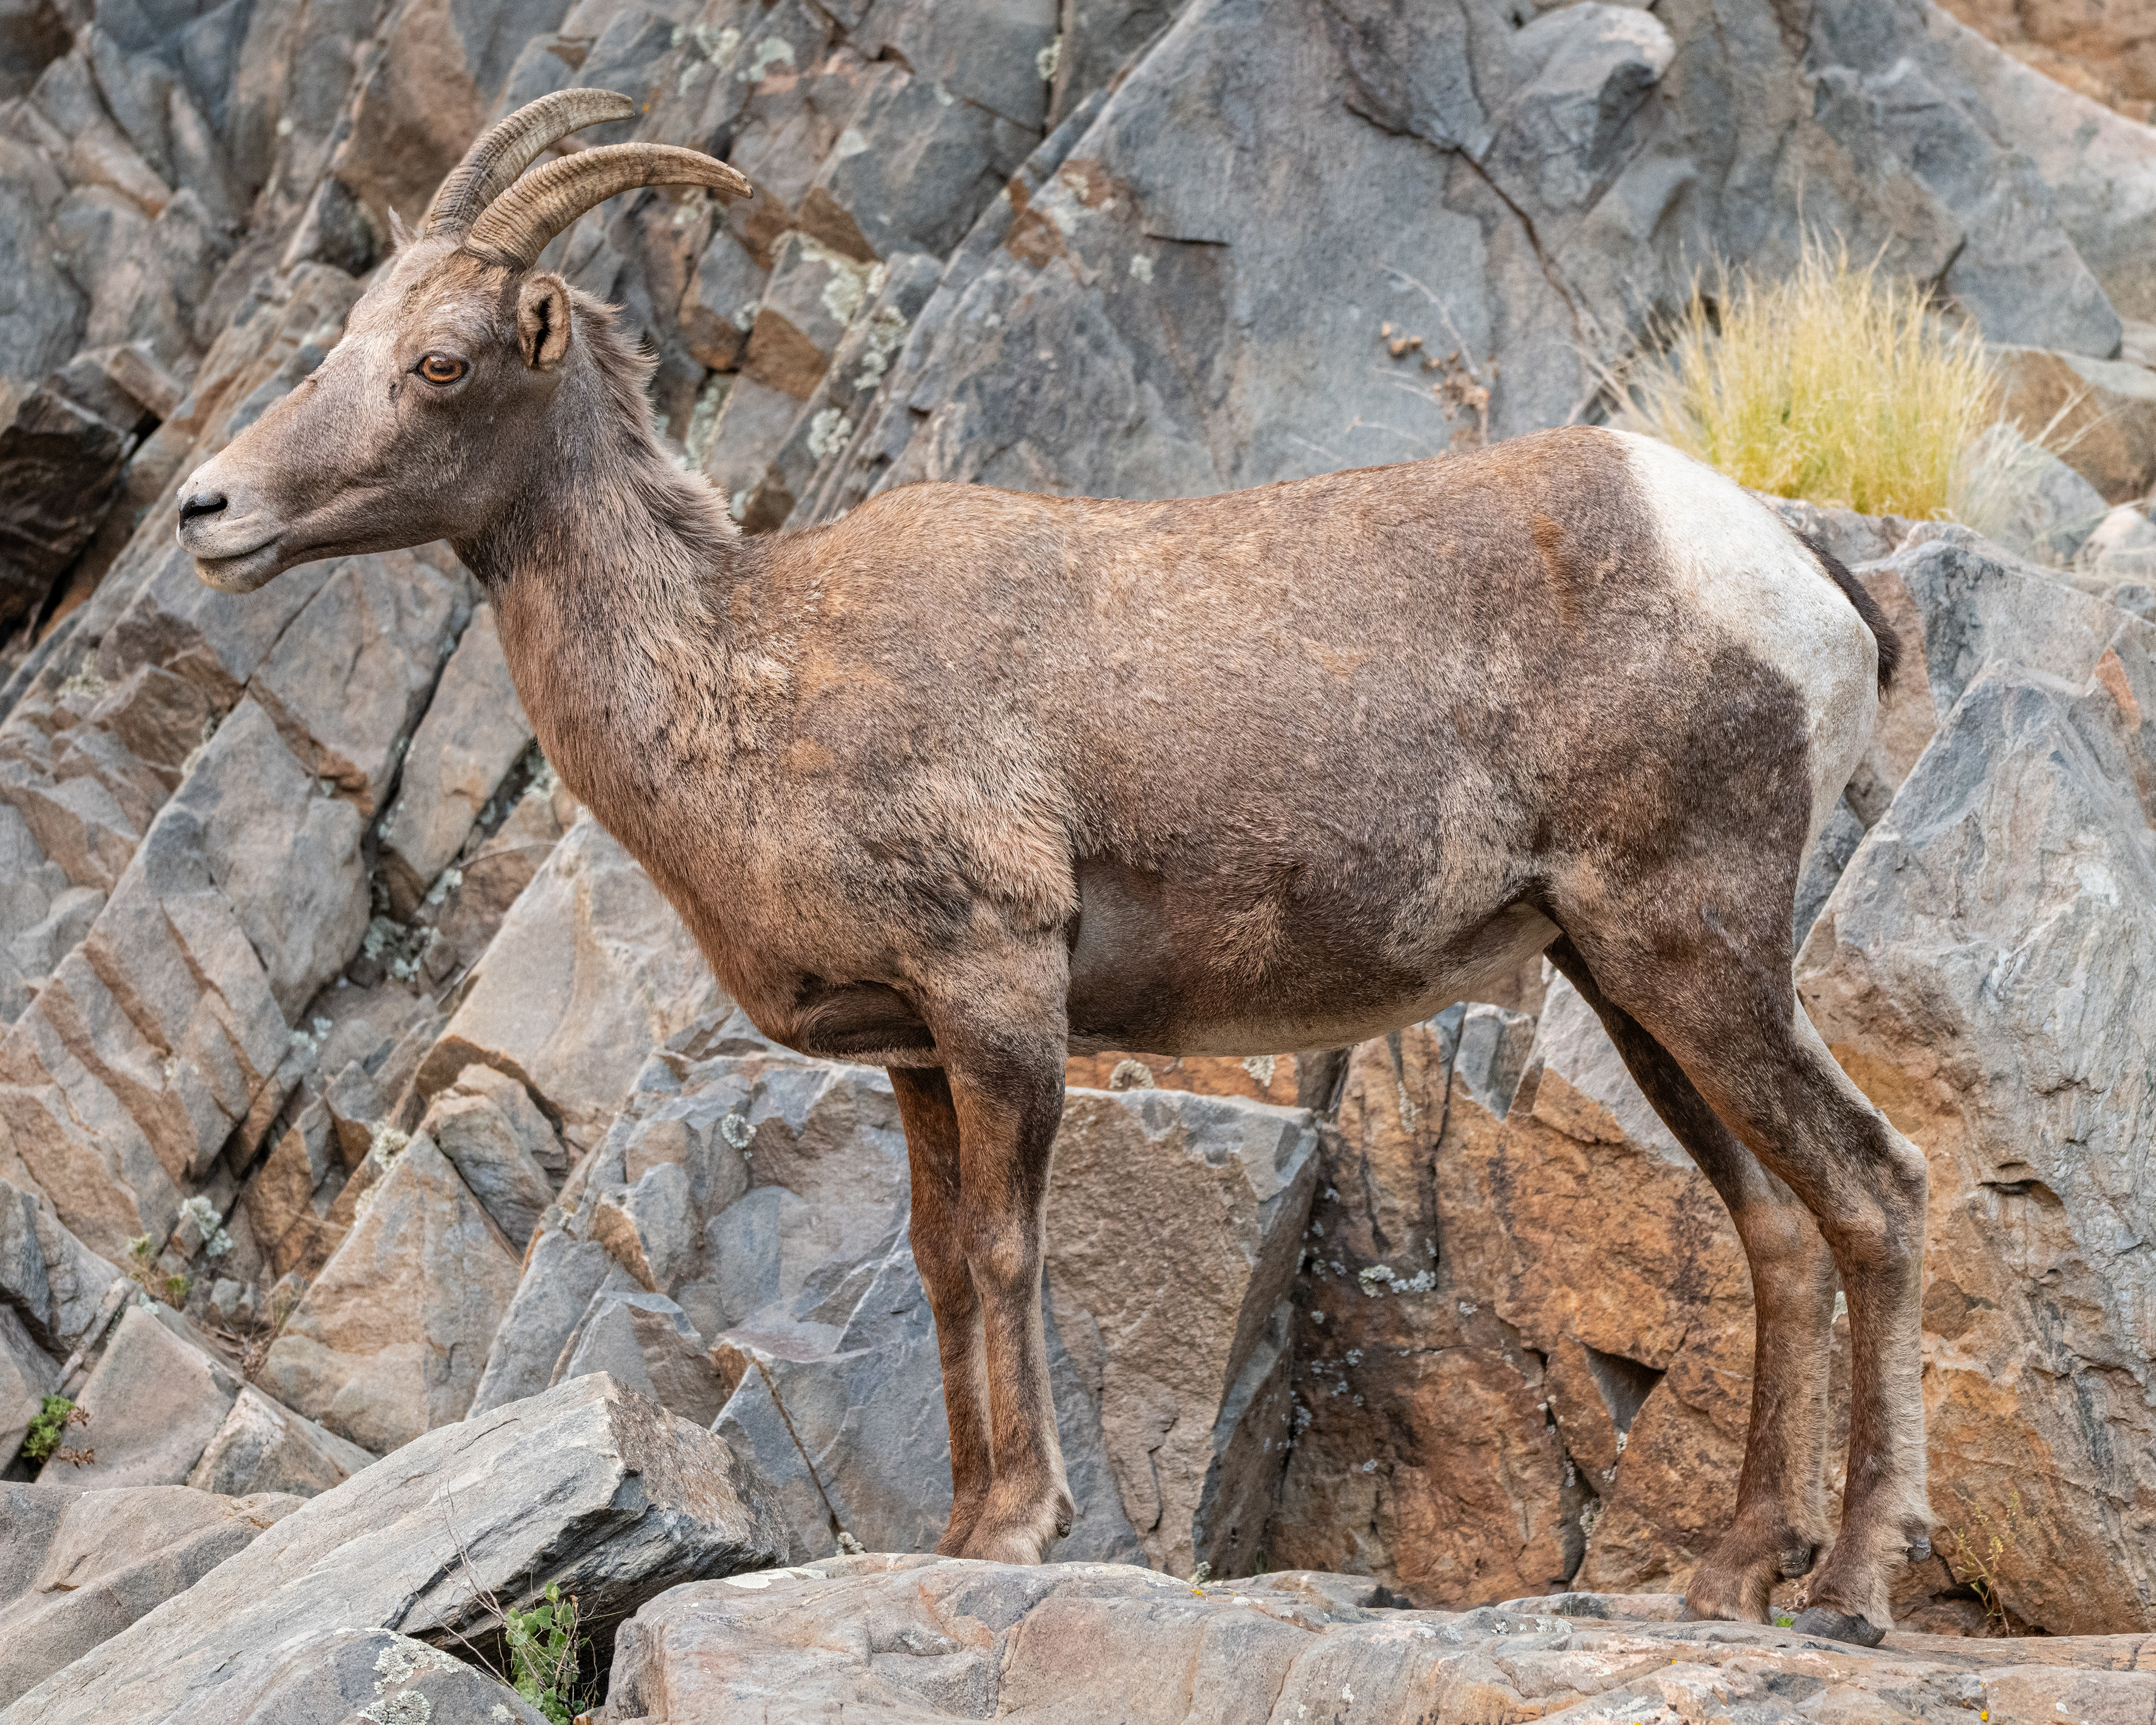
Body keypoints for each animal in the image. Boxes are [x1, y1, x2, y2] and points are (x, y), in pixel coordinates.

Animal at [176, 90, 1929, 1645]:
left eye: (442, 361)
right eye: (349, 339)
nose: (209, 510)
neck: (748, 673)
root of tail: (1796, 579)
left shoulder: (1000, 990)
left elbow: (1013, 1253)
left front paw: (1020, 1527)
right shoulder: (912, 1052)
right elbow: (945, 1271)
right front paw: (958, 1523)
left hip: (1697, 949)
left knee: (1874, 1188)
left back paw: (1850, 1587)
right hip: (1626, 979)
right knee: (1777, 1227)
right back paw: (1733, 1577)